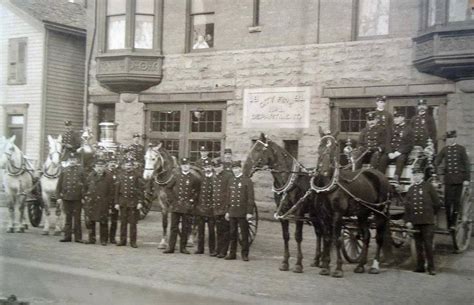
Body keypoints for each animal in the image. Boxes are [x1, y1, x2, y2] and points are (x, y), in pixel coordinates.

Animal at [243, 132, 324, 270]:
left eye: (258, 149)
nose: (245, 169)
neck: (289, 181)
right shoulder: (282, 213)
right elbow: (286, 236)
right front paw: (285, 262)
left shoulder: (298, 213)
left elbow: (298, 236)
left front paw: (298, 264)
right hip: (314, 214)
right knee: (319, 233)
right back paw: (316, 260)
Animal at [312, 129, 392, 276]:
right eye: (320, 146)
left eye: (334, 147)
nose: (324, 171)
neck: (329, 187)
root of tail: (381, 175)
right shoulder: (323, 215)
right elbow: (327, 238)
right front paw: (325, 267)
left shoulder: (338, 215)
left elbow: (337, 239)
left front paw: (338, 269)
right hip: (362, 214)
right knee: (366, 235)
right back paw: (360, 265)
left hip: (380, 212)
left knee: (379, 237)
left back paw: (375, 266)